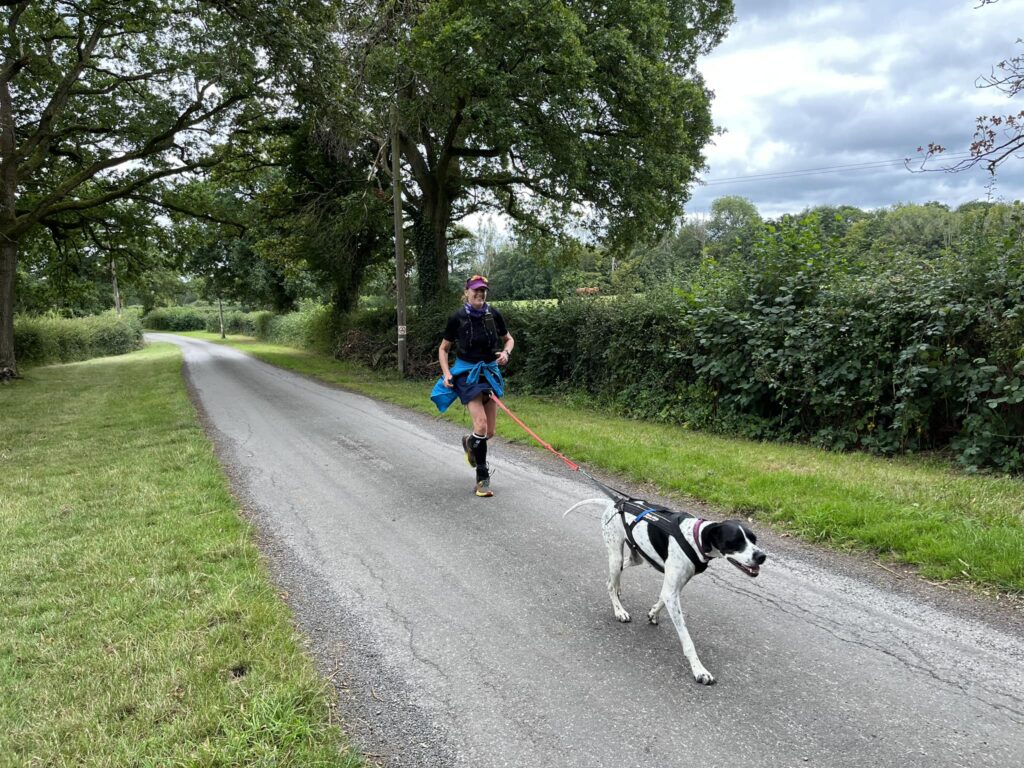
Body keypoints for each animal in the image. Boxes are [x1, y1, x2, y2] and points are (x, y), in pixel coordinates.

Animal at [569, 499, 770, 684]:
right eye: (735, 542)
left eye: (754, 539)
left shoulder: (674, 587)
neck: (694, 538)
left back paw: (618, 593)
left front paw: (653, 613)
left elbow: (661, 598)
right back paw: (619, 610)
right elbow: (687, 640)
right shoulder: (672, 591)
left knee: (613, 578)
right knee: (610, 583)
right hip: (615, 555)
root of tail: (616, 502)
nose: (762, 556)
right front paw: (699, 670)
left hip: (635, 558)